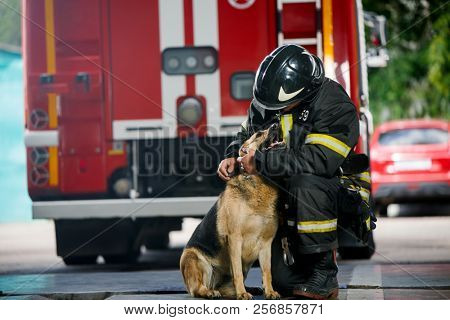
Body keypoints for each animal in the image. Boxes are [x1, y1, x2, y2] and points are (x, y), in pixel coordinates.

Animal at [180, 123, 284, 300]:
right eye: (258, 134)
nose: (276, 123)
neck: (258, 184)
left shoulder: (266, 243)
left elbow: (266, 271)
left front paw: (270, 291)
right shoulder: (235, 239)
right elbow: (237, 272)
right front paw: (242, 294)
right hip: (192, 258)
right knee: (198, 289)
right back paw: (210, 292)